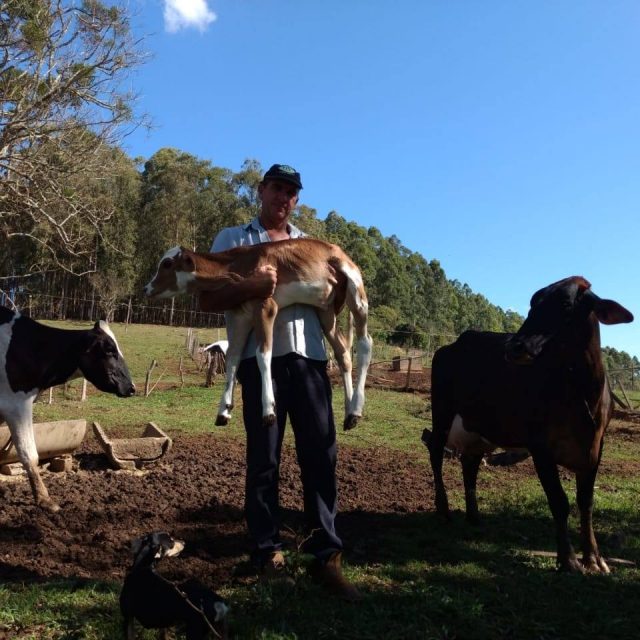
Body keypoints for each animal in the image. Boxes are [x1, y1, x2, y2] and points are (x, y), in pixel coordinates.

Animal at [144, 239, 373, 430]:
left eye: (167, 264)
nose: (146, 288)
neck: (236, 267)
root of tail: (338, 251)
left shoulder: (266, 307)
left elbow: (263, 354)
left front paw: (268, 411)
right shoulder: (239, 317)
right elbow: (232, 359)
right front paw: (224, 411)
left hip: (357, 294)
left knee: (365, 343)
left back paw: (357, 408)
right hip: (326, 311)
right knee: (343, 352)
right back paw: (349, 413)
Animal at [425, 276, 633, 573]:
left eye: (566, 303)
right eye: (533, 304)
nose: (514, 347)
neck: (582, 391)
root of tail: (453, 345)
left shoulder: (597, 445)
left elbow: (586, 502)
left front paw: (594, 558)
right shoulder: (540, 446)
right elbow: (559, 502)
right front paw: (568, 560)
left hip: (479, 426)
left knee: (470, 463)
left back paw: (474, 515)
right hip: (442, 412)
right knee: (435, 453)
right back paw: (443, 509)